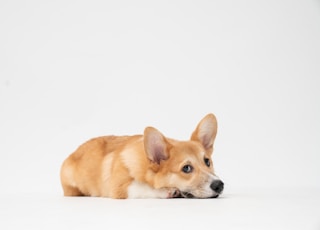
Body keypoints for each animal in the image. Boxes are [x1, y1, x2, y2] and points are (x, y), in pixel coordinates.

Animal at [61, 113, 224, 198]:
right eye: (187, 168)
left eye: (207, 161)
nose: (219, 185)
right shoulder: (120, 188)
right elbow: (143, 187)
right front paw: (167, 191)